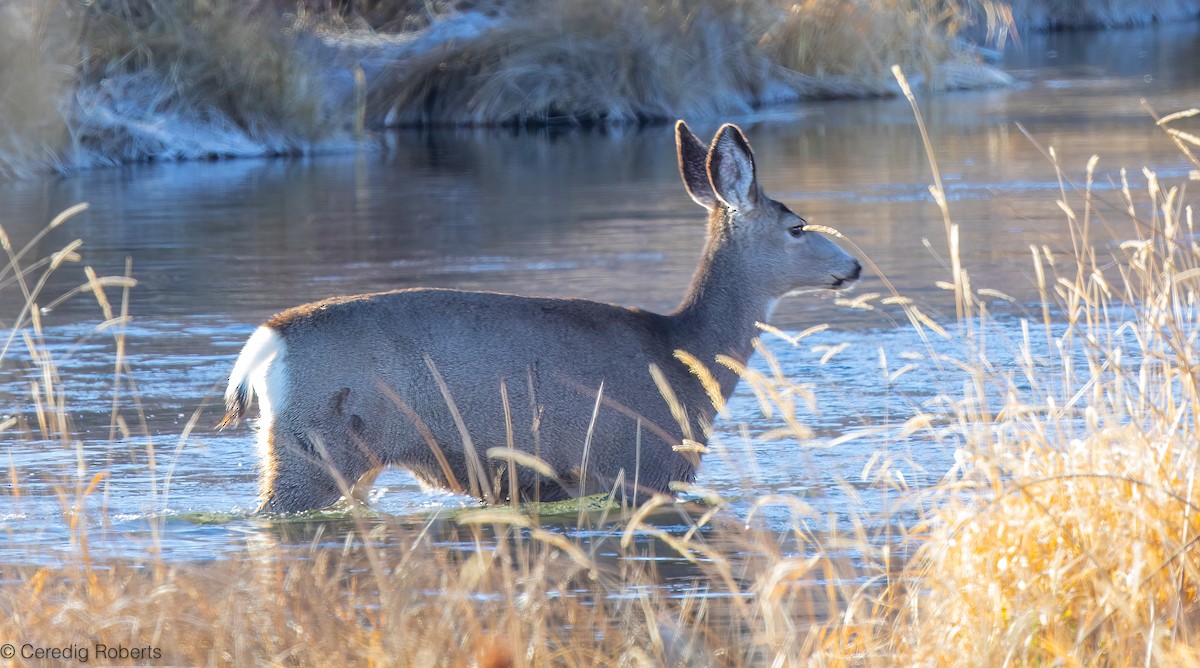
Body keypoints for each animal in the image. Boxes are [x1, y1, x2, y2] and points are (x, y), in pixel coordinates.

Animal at [221, 120, 861, 513]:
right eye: (797, 227)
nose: (853, 265)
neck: (685, 359)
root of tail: (267, 342)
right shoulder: (638, 466)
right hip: (314, 446)